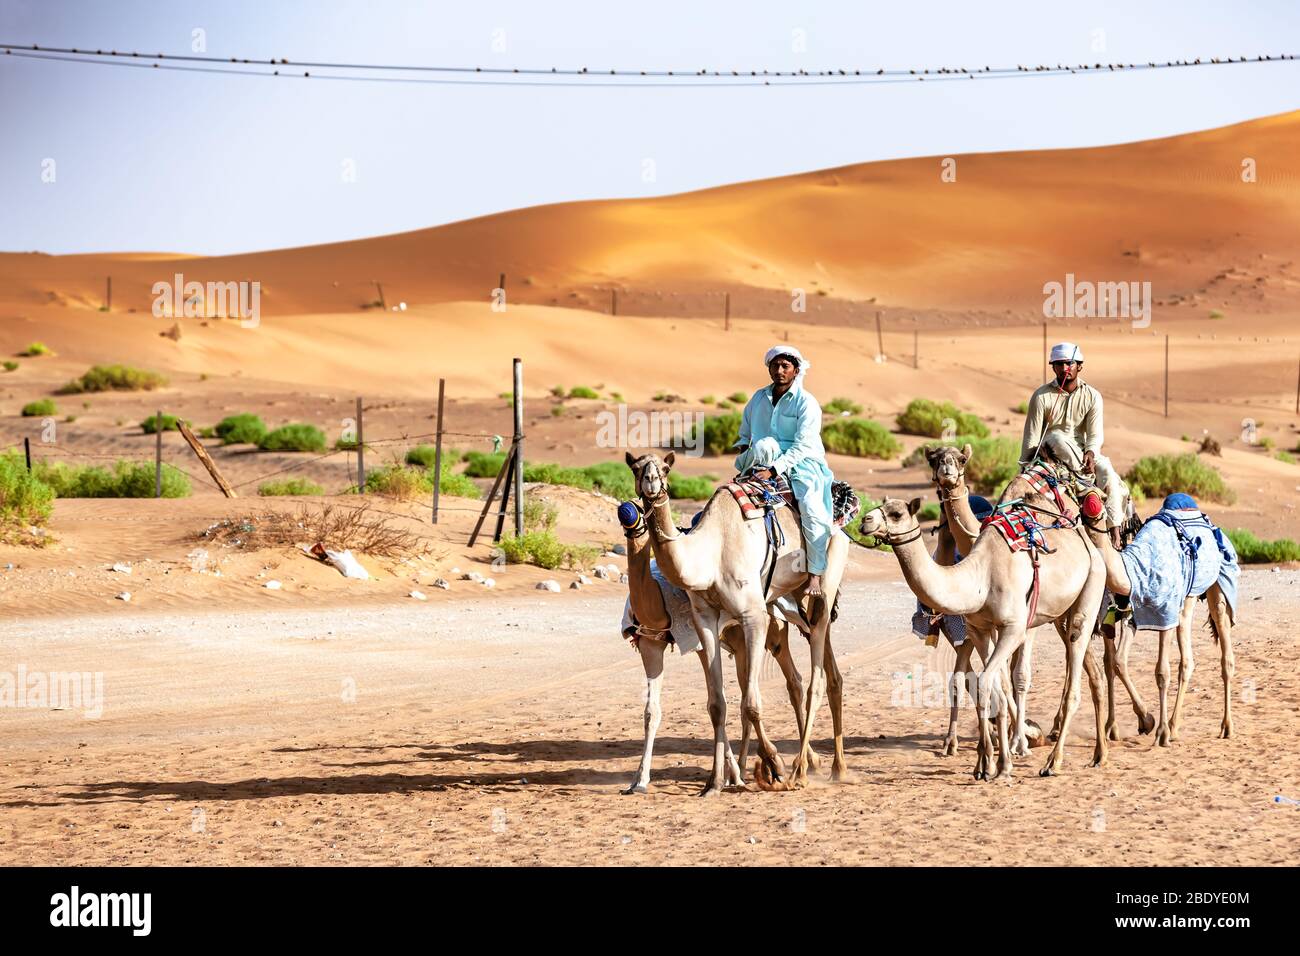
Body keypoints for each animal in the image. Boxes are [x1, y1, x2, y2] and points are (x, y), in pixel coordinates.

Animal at [624, 452, 847, 796]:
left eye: (665, 468)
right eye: (636, 468)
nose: (650, 481)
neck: (711, 554)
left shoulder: (753, 615)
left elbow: (751, 703)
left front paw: (774, 766)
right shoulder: (704, 619)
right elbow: (717, 704)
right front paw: (714, 783)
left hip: (824, 581)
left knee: (815, 680)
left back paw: (801, 771)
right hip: (796, 600)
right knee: (826, 671)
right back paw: (835, 767)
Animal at [863, 496, 1107, 780]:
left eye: (897, 514)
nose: (866, 520)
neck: (982, 577)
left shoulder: (1013, 628)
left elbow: (985, 683)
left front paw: (997, 762)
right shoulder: (978, 629)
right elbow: (989, 687)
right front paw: (986, 763)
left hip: (1092, 584)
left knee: (1076, 664)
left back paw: (1053, 762)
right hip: (1055, 613)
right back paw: (1099, 754)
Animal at [1076, 512, 1237, 743]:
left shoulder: (1165, 614)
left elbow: (1161, 672)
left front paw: (1160, 731)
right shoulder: (1132, 613)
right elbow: (1117, 662)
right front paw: (1147, 721)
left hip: (1218, 587)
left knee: (1224, 649)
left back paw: (1226, 726)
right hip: (1185, 603)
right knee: (1186, 660)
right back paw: (1174, 726)